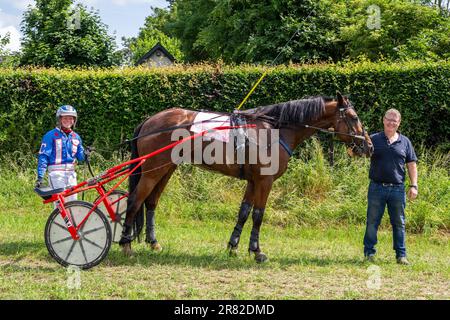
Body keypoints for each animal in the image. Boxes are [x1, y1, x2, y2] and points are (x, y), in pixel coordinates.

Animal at [118, 92, 372, 262]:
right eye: (353, 117)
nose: (368, 146)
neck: (274, 130)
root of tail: (149, 120)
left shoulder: (253, 181)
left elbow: (244, 212)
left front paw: (233, 246)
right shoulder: (264, 181)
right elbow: (258, 215)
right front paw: (256, 251)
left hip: (165, 169)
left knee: (151, 202)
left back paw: (153, 243)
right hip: (153, 171)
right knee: (135, 200)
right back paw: (125, 244)